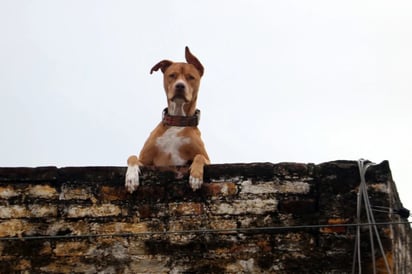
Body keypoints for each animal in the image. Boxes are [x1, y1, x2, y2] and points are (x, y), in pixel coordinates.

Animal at [124, 46, 209, 193]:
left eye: (191, 77)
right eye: (172, 75)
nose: (180, 86)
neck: (177, 120)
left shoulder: (209, 160)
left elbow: (200, 156)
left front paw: (196, 176)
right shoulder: (145, 160)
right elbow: (132, 157)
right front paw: (131, 177)